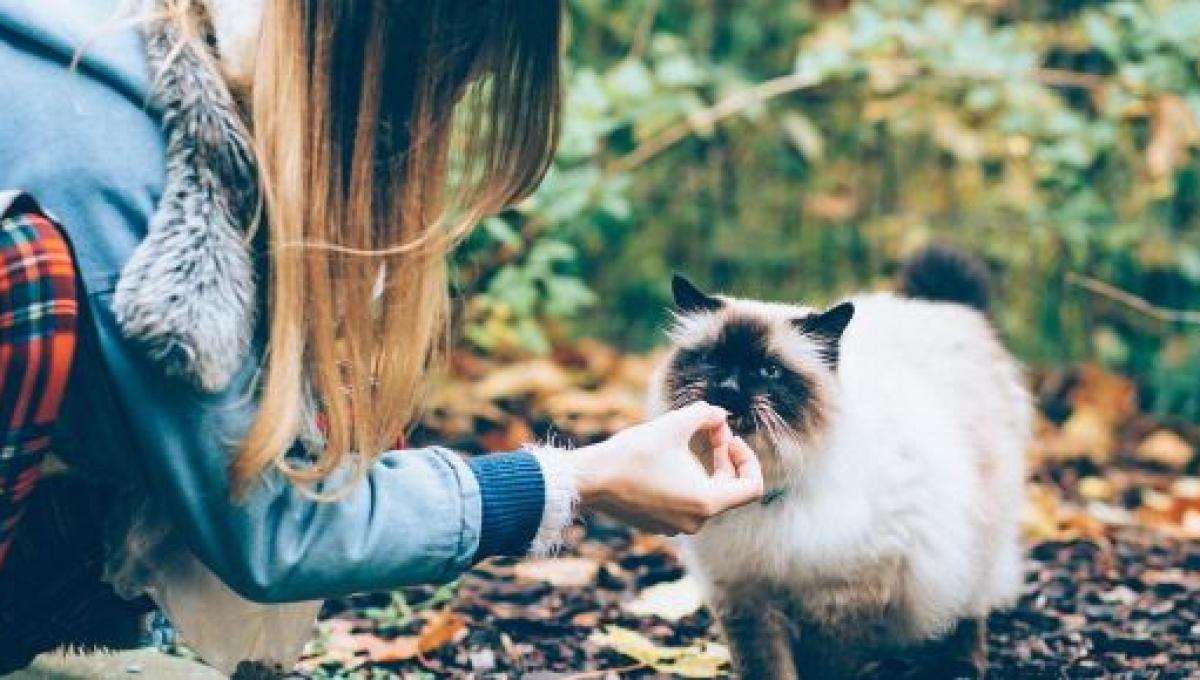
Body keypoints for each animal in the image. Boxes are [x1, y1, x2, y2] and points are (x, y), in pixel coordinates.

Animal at [648, 245, 1032, 680]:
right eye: (713, 360)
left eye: (768, 371)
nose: (727, 390)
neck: (767, 496)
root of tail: (943, 307)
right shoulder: (746, 596)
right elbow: (768, 667)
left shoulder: (840, 600)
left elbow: (825, 665)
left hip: (973, 543)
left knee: (969, 608)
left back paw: (961, 665)